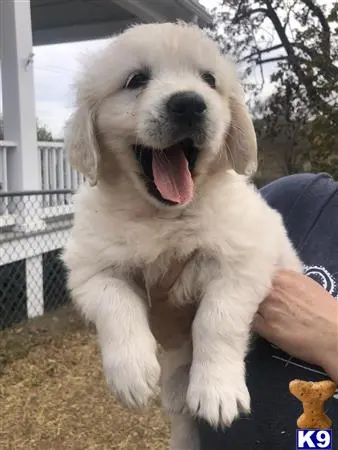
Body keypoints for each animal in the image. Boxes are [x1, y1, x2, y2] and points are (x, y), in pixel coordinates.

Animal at [62, 22, 302, 450]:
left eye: (209, 80)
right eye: (136, 80)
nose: (189, 104)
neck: (164, 216)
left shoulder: (242, 263)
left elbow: (216, 321)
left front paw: (218, 391)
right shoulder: (90, 269)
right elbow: (115, 305)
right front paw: (131, 373)